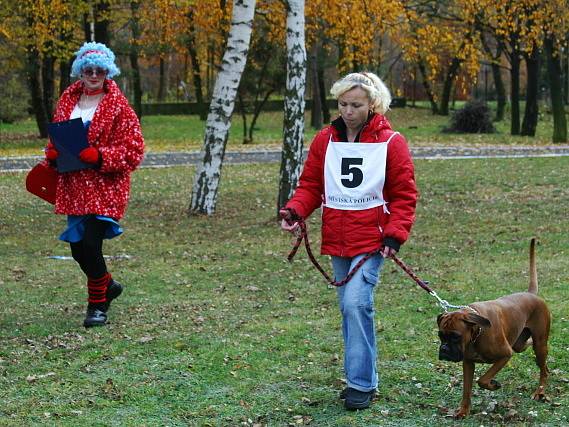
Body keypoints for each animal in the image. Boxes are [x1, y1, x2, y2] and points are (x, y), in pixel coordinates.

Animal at [434, 239, 552, 420]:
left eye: (455, 336)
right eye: (441, 336)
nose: (444, 349)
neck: (476, 333)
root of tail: (531, 294)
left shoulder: (505, 355)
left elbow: (482, 380)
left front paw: (493, 384)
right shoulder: (468, 363)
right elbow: (466, 390)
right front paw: (463, 411)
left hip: (537, 345)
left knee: (542, 366)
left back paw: (540, 392)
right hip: (519, 345)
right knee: (538, 358)